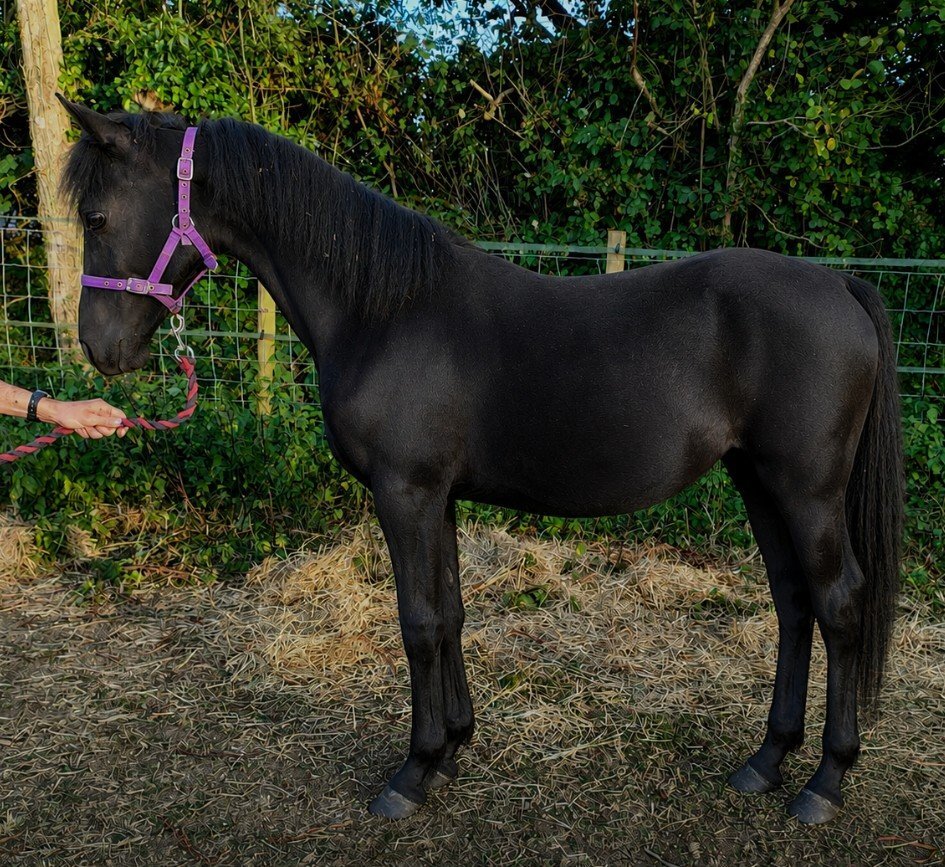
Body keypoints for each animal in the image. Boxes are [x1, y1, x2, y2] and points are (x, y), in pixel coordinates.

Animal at [58, 98, 903, 825]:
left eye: (97, 216)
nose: (98, 346)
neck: (382, 309)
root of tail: (838, 283)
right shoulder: (439, 497)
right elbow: (453, 611)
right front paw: (454, 751)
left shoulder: (405, 493)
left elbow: (419, 622)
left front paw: (412, 769)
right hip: (757, 482)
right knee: (792, 604)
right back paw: (765, 760)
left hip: (807, 491)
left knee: (837, 604)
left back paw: (824, 780)